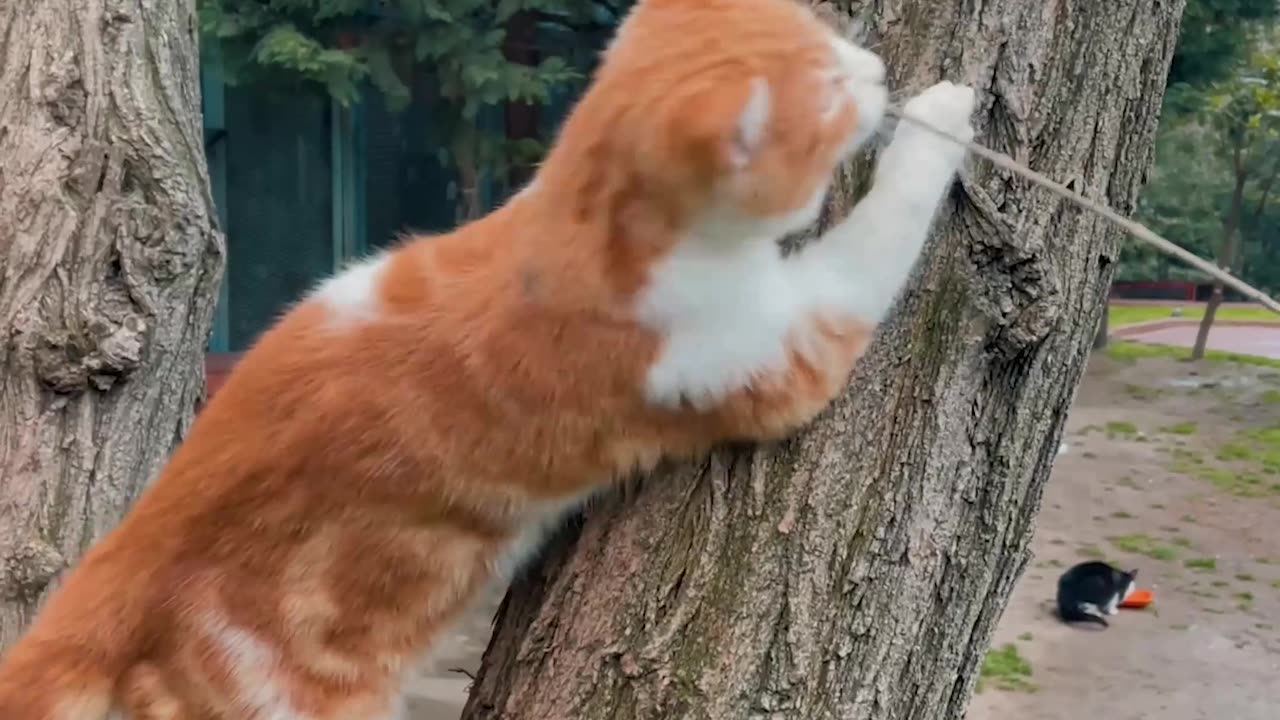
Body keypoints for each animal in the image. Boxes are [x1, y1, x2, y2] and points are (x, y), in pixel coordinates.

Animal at [0, 0, 967, 712]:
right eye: (834, 88)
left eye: (831, 36)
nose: (878, 72)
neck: (583, 215)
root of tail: (125, 556)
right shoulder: (779, 347)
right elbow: (875, 243)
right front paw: (945, 121)